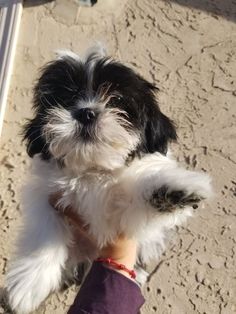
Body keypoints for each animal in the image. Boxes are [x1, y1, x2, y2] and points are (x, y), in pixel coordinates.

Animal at [5, 44, 212, 314]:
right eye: (68, 98)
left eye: (116, 100)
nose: (86, 112)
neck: (92, 169)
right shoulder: (45, 197)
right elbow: (45, 233)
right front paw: (28, 283)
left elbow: (142, 192)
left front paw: (173, 189)